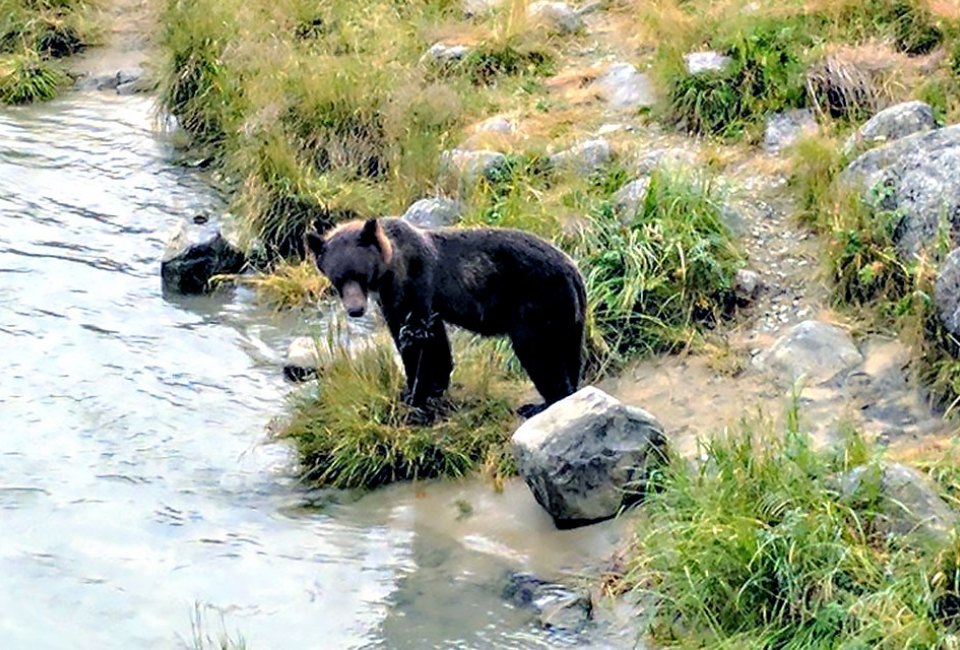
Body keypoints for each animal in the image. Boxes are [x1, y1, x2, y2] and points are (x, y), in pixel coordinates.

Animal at [308, 215, 588, 418]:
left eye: (360, 274)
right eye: (338, 279)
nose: (355, 309)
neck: (388, 269)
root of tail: (573, 270)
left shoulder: (413, 282)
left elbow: (414, 337)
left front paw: (413, 395)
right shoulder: (419, 302)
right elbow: (435, 340)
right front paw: (434, 386)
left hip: (536, 302)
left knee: (537, 352)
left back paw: (542, 403)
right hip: (569, 316)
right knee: (569, 352)